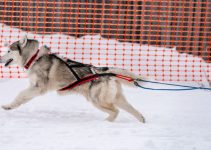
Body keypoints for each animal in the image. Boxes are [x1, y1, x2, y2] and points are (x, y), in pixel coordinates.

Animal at [0, 35, 145, 122]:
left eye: (8, 50)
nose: (0, 59)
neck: (34, 58)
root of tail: (103, 71)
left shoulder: (38, 88)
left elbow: (20, 95)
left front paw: (7, 106)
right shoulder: (33, 88)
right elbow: (22, 98)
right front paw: (11, 106)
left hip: (97, 100)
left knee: (116, 111)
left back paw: (106, 123)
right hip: (116, 99)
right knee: (132, 110)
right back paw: (142, 120)